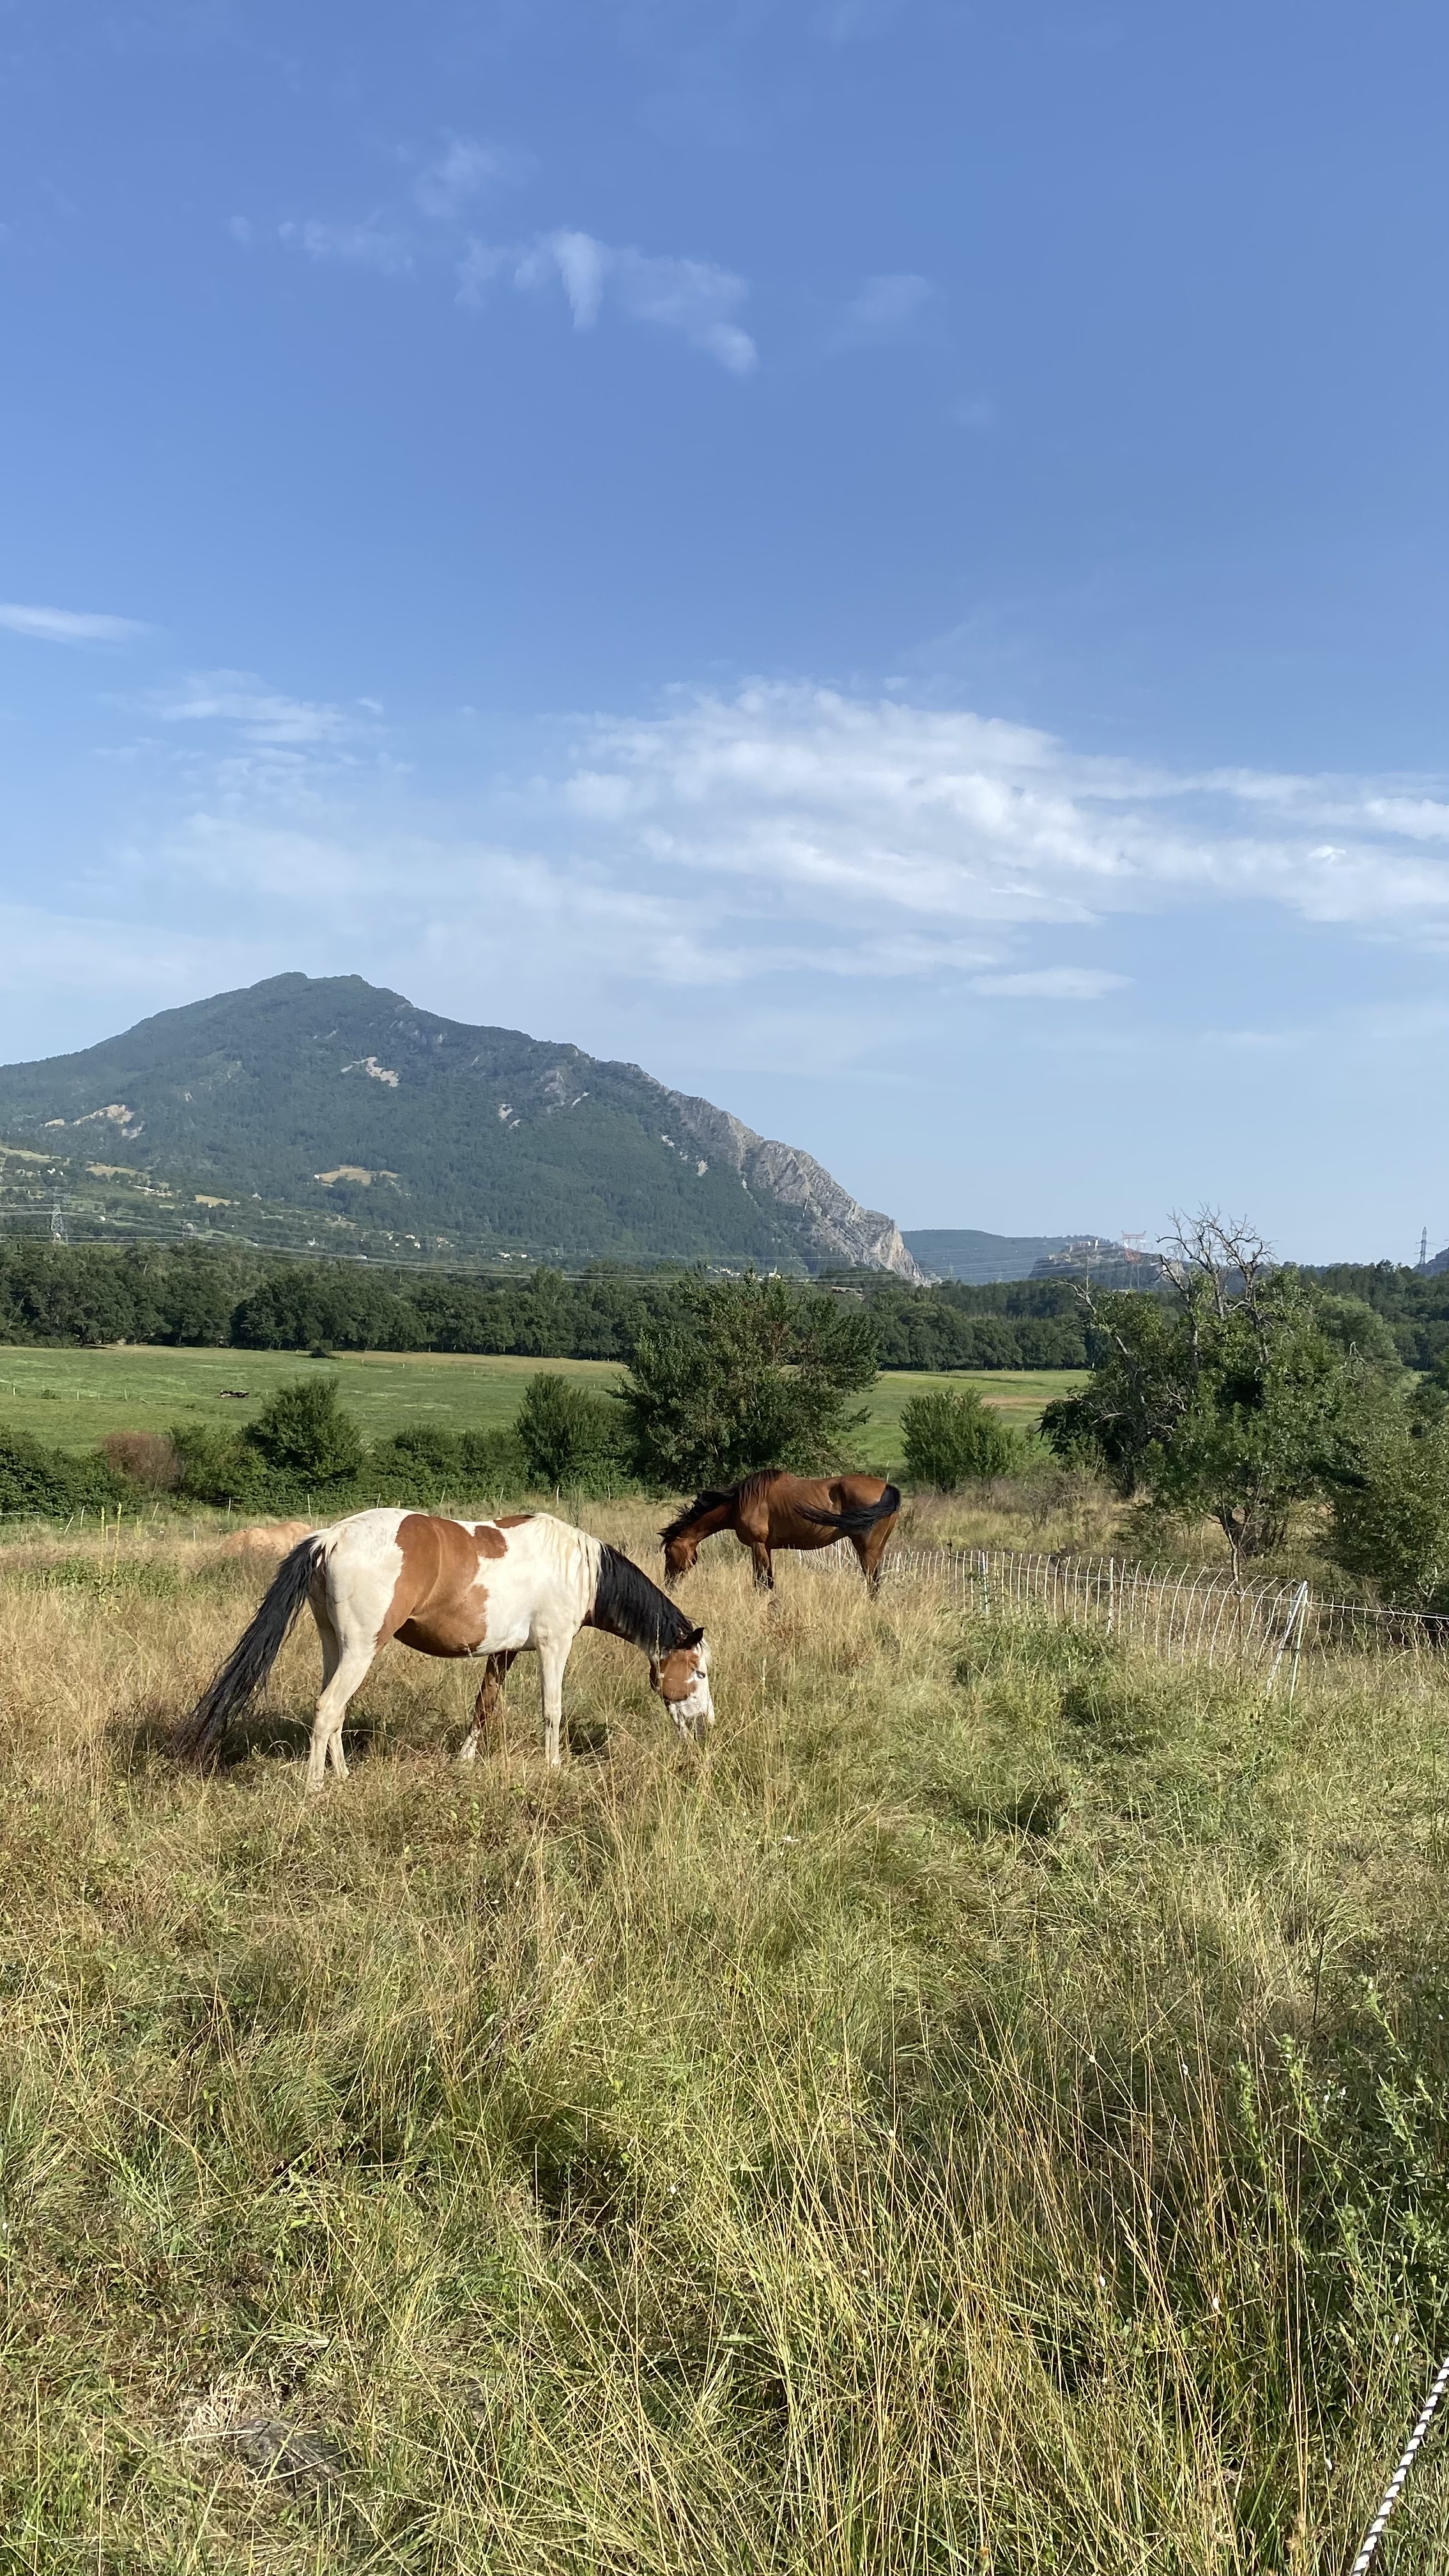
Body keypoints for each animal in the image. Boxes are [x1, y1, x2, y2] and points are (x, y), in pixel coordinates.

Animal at [175, 1504, 711, 1793]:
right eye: (700, 1673)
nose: (705, 1726)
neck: (580, 1568)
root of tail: (330, 1537)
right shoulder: (554, 1645)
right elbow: (552, 1710)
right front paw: (554, 1767)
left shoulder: (504, 1652)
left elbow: (484, 1707)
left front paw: (465, 1761)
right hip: (361, 1649)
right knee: (328, 1710)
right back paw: (317, 1788)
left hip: (336, 1646)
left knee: (335, 1712)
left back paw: (344, 1777)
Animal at [660, 1473, 897, 1586]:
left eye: (668, 1553)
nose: (668, 1584)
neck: (740, 1501)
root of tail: (888, 1488)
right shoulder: (766, 1548)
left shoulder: (757, 1546)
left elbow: (761, 1582)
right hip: (877, 1549)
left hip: (867, 1549)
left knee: (873, 1583)